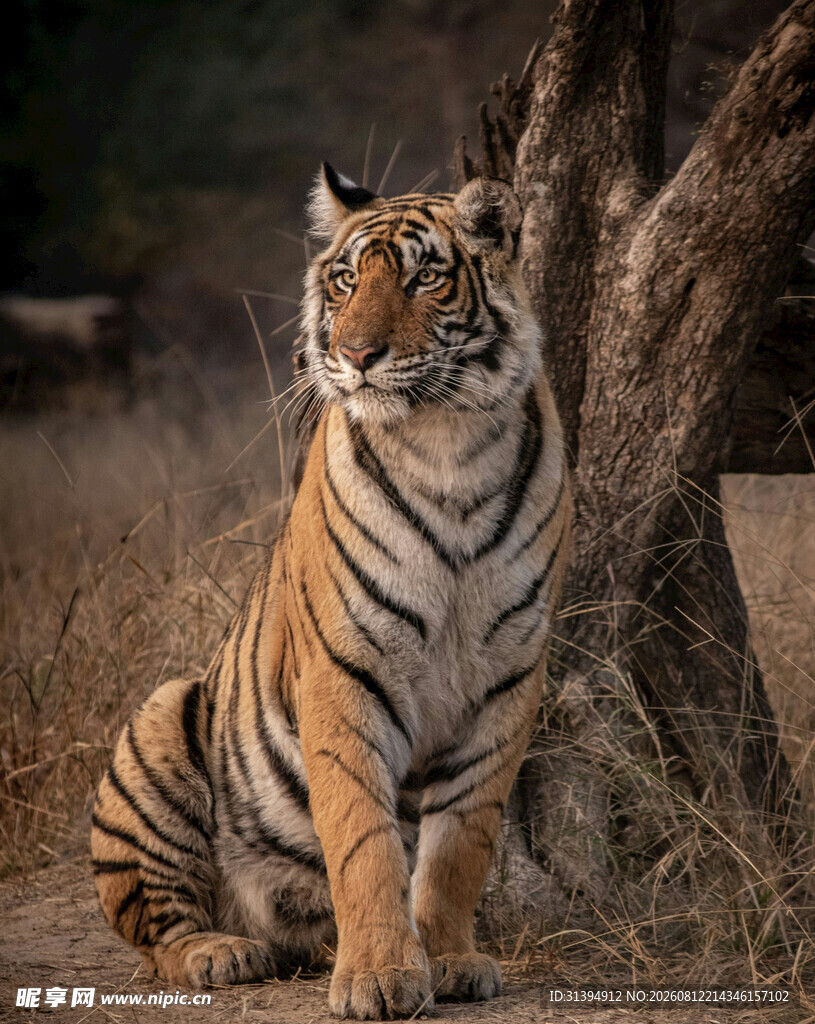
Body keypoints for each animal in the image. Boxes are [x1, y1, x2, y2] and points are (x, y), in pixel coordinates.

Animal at [91, 163, 571, 1020]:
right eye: (345, 281)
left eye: (423, 279)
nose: (356, 353)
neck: (448, 444)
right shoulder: (347, 668)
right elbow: (362, 839)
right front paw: (379, 976)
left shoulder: (508, 677)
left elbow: (460, 843)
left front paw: (449, 959)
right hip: (159, 724)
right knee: (156, 934)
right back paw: (222, 952)